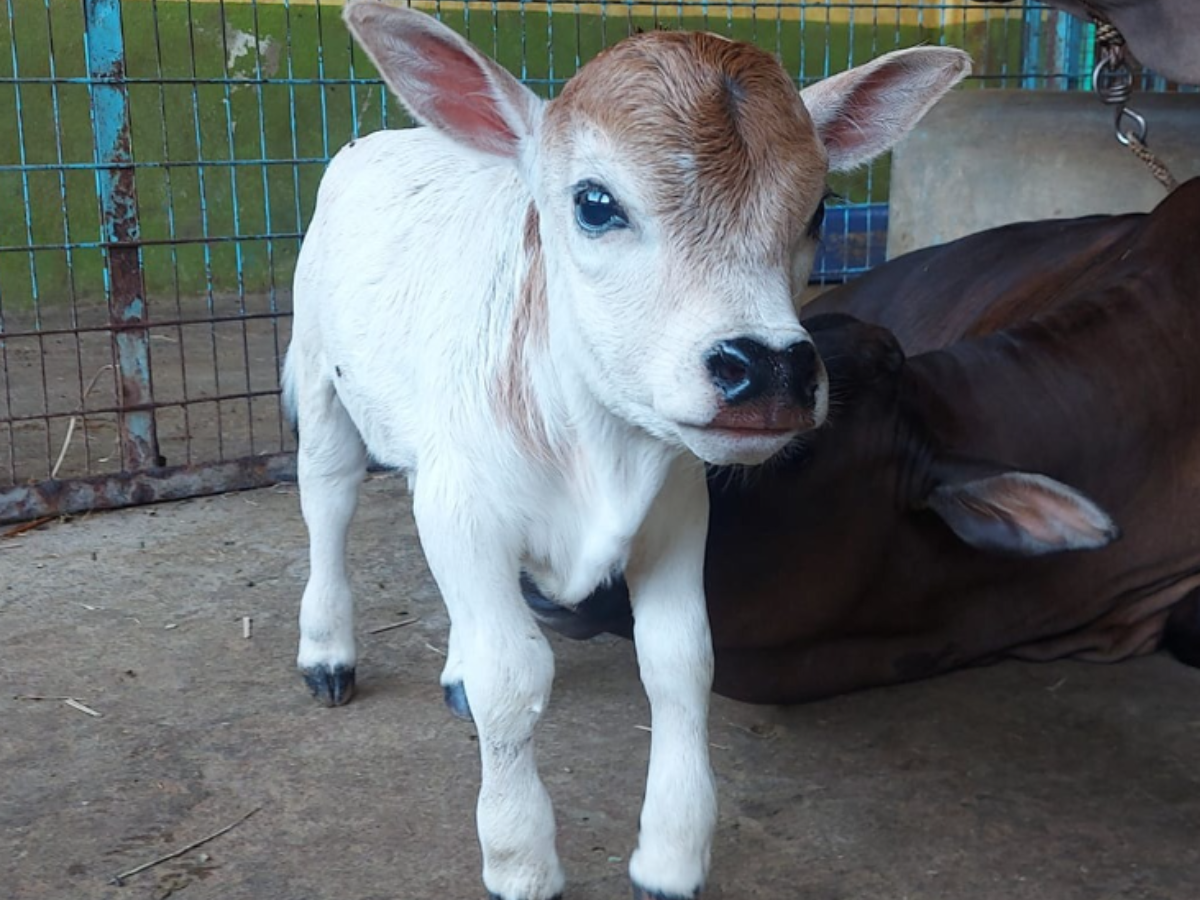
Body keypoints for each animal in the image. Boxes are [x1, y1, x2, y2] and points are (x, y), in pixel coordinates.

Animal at [283, 2, 970, 898]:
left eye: (820, 208)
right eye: (596, 202)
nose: (771, 367)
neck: (592, 444)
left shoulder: (677, 513)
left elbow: (680, 664)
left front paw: (671, 855)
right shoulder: (465, 504)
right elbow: (514, 678)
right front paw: (520, 859)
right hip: (319, 368)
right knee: (328, 497)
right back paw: (328, 651)